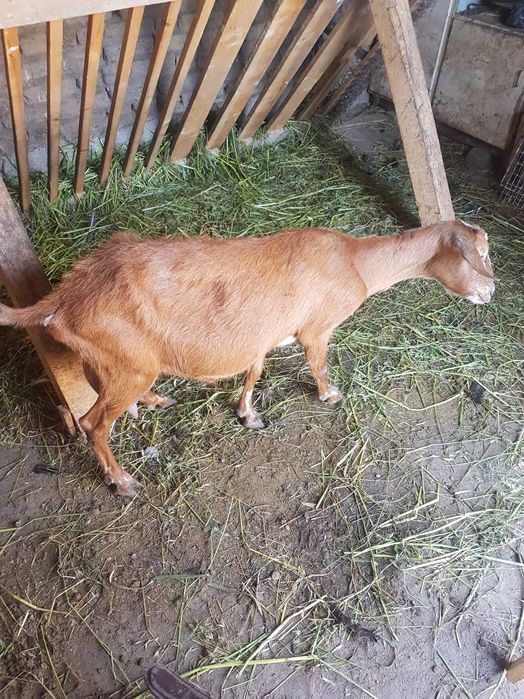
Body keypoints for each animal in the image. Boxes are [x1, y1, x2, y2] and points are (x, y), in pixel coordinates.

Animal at [0, 220, 494, 496]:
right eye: (480, 254)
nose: (491, 292)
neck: (356, 262)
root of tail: (63, 298)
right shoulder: (316, 328)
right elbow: (318, 363)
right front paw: (330, 395)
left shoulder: (263, 337)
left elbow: (255, 370)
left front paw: (247, 414)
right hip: (128, 363)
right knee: (92, 423)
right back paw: (121, 481)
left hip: (115, 361)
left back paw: (155, 402)